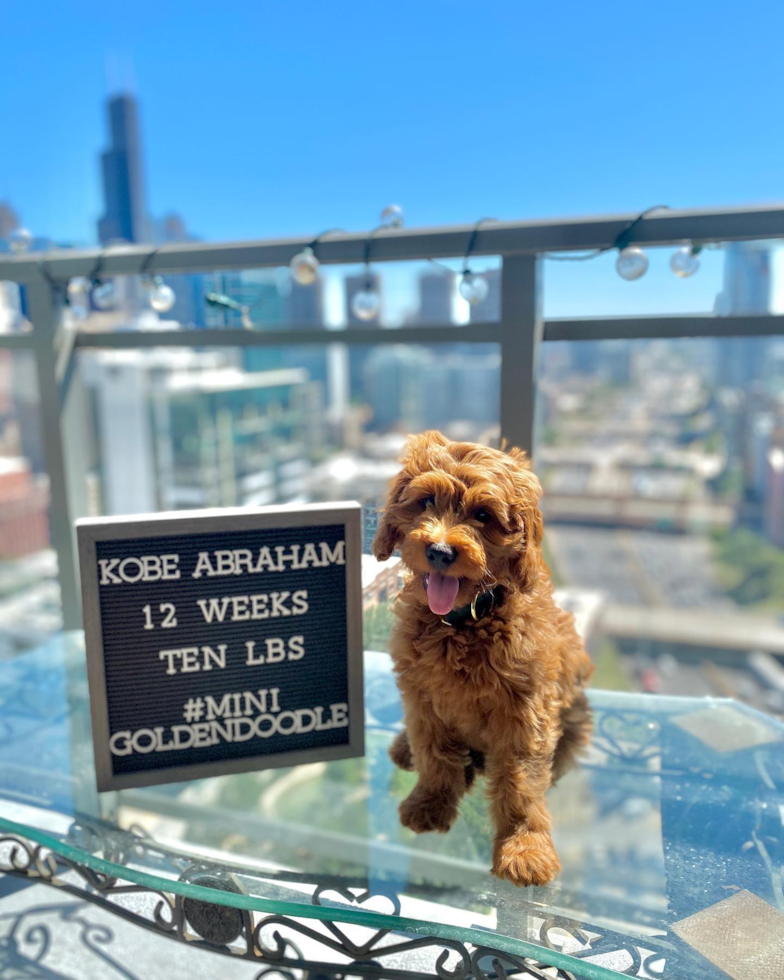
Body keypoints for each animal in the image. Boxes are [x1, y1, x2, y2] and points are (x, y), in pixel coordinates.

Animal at [376, 432, 596, 884]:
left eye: (483, 514)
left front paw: (524, 847)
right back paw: (406, 749)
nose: (440, 551)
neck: (462, 620)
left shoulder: (525, 710)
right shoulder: (423, 697)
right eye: (426, 501)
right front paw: (429, 804)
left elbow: (522, 781)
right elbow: (434, 755)